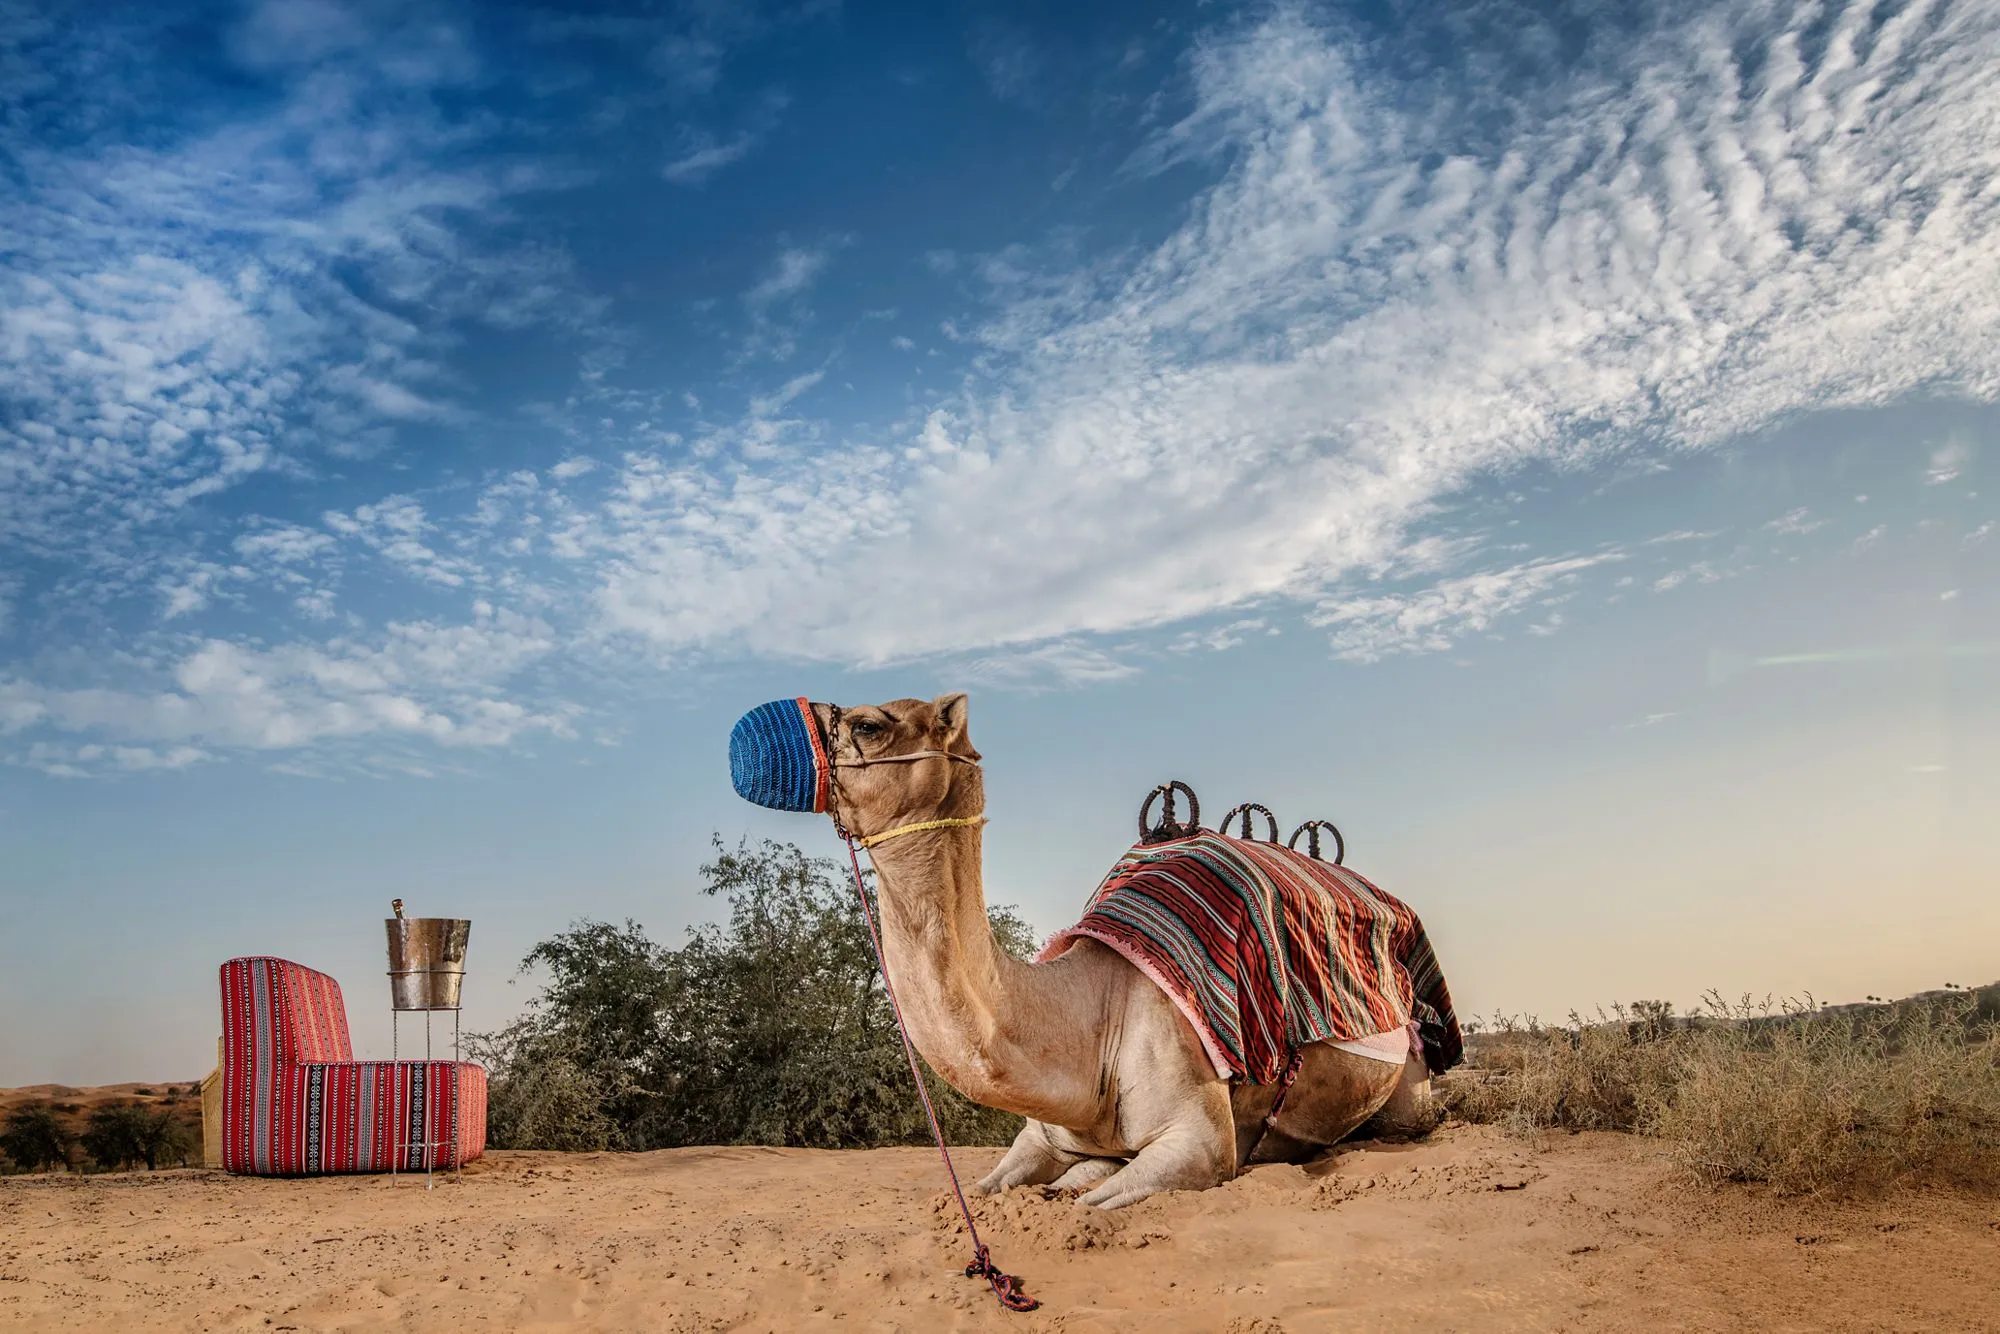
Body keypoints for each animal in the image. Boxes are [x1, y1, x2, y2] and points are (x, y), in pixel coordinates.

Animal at [796, 700, 1440, 1208]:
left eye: (869, 724)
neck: (1087, 1024)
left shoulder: (1199, 1142)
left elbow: (1099, 1199)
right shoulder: (1038, 1136)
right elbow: (992, 1188)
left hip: (1411, 1082)